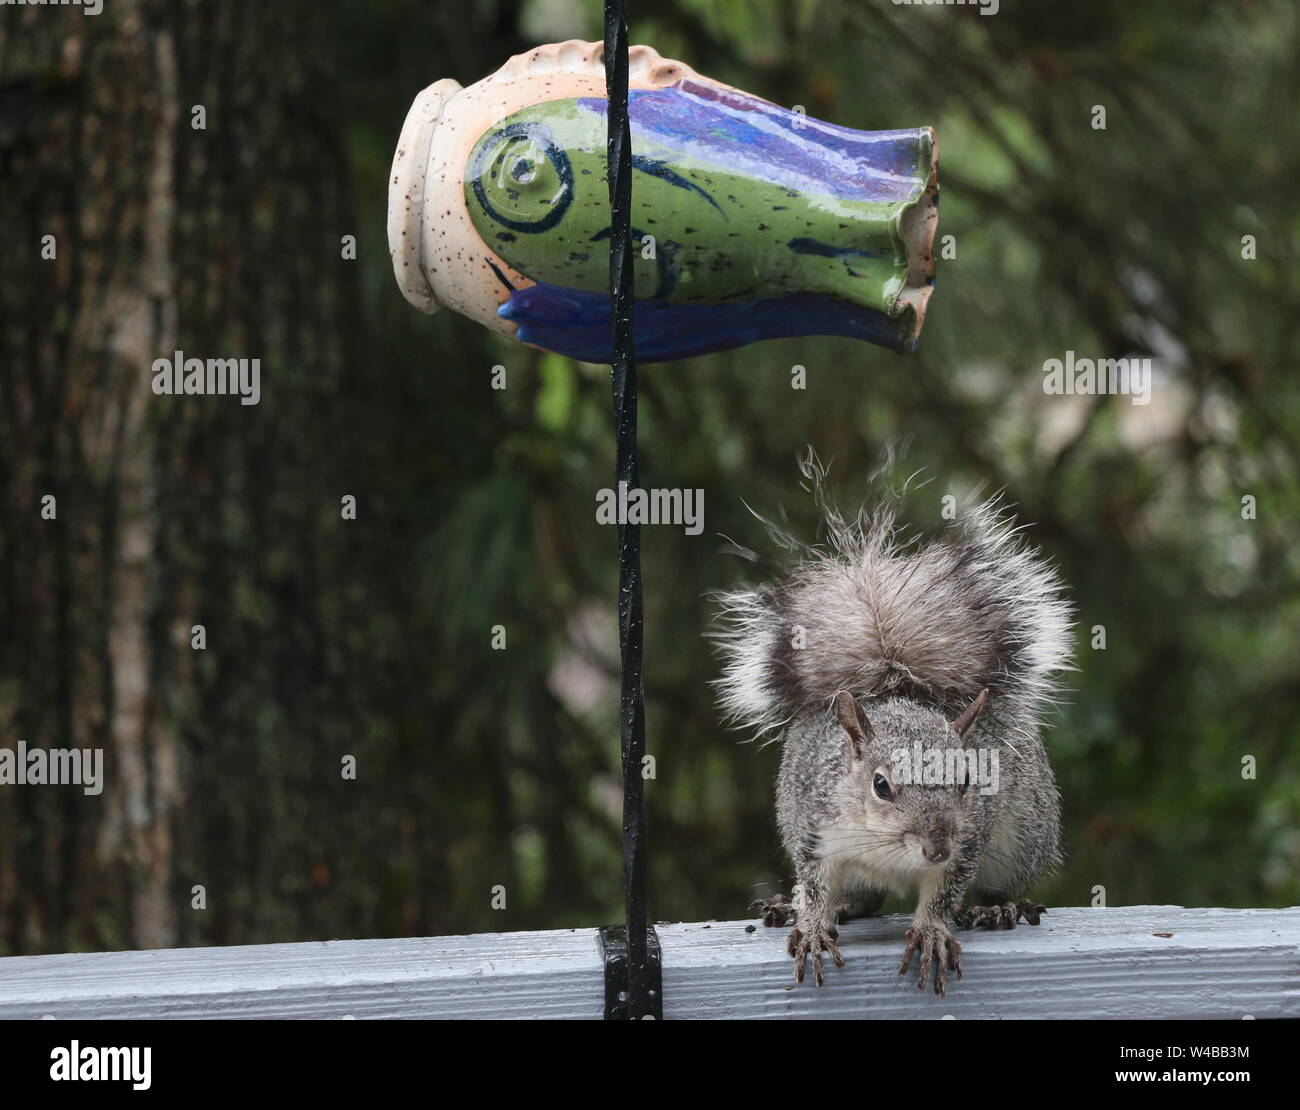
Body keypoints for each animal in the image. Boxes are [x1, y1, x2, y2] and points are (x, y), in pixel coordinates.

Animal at [710, 455, 1073, 996]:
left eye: (968, 780)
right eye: (881, 785)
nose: (936, 846)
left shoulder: (968, 842)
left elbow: (944, 894)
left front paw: (931, 932)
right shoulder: (813, 830)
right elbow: (814, 886)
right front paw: (812, 924)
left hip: (1022, 839)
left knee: (998, 886)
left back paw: (998, 908)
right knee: (864, 899)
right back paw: (807, 906)